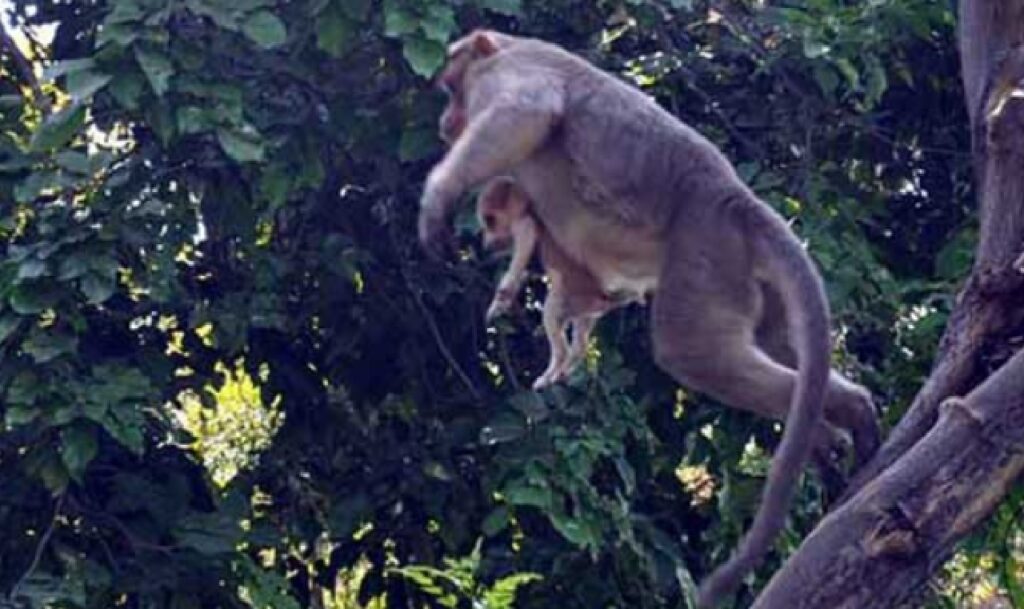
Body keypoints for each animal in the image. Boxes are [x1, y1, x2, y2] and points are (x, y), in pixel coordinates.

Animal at [477, 175, 638, 390]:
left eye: (490, 221)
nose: (485, 242)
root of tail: (605, 296)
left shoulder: (524, 227)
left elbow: (515, 273)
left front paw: (496, 307)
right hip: (589, 307)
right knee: (580, 338)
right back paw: (566, 369)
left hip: (574, 299)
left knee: (553, 313)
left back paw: (550, 374)